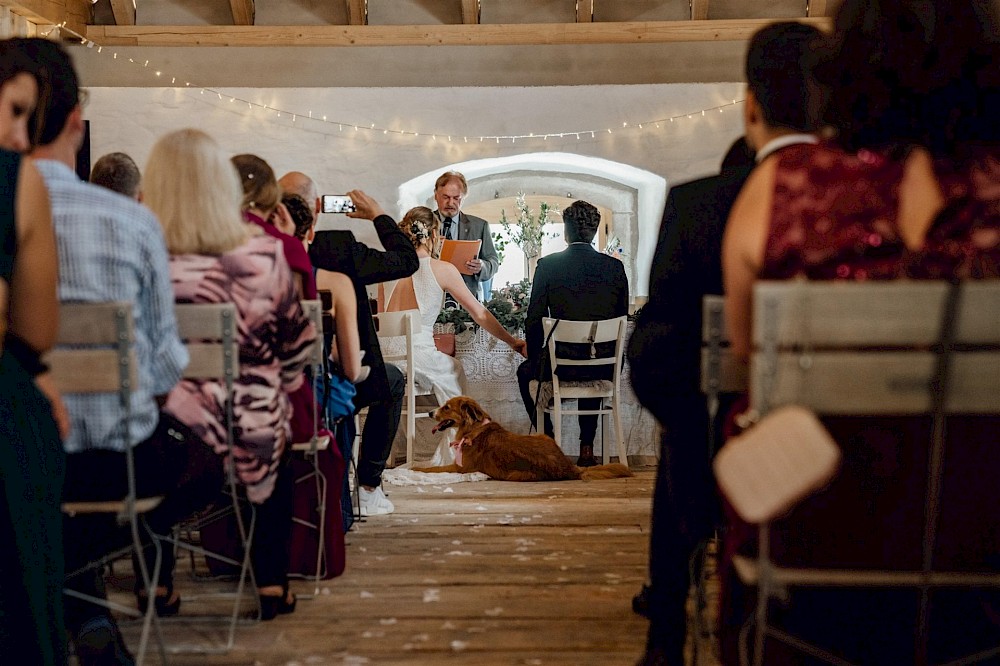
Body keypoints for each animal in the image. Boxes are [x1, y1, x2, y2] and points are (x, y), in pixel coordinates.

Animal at [414, 396, 632, 480]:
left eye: (446, 407)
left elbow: (434, 468)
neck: (473, 429)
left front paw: (415, 468)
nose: (430, 413)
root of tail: (569, 467)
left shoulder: (460, 468)